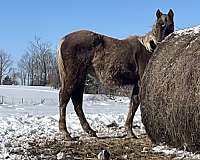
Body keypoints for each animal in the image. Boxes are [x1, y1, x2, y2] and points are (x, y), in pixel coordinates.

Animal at [57, 9, 174, 139]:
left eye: (170, 25)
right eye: (157, 25)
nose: (159, 44)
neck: (148, 48)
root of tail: (64, 39)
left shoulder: (137, 84)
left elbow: (133, 103)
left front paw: (129, 131)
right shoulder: (141, 83)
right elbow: (136, 103)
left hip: (80, 78)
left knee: (77, 102)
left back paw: (89, 130)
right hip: (73, 77)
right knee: (64, 98)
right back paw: (65, 132)